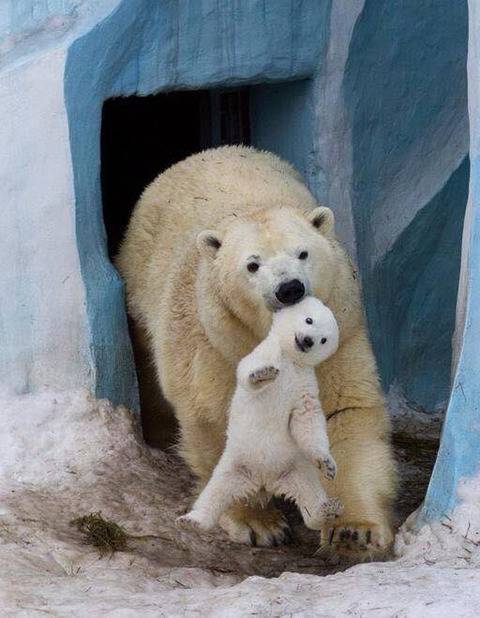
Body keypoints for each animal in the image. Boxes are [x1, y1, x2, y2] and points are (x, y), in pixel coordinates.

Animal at [117, 144, 398, 560]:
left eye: (303, 253)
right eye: (252, 264)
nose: (290, 288)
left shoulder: (341, 333)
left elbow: (342, 411)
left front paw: (354, 531)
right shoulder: (217, 343)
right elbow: (218, 420)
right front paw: (258, 523)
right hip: (140, 282)